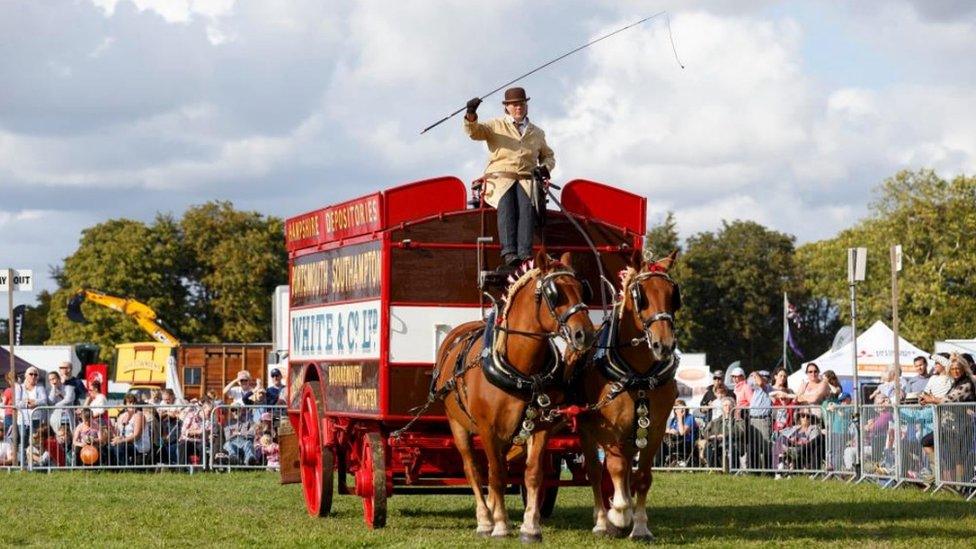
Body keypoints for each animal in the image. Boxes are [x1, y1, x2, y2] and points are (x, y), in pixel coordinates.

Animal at [432, 250, 596, 540]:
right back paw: (485, 519)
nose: (584, 334)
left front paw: (530, 526)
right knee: (473, 469)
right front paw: (499, 525)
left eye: (582, 289)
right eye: (555, 294)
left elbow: (532, 474)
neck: (522, 369)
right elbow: (495, 475)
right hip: (458, 425)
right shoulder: (488, 429)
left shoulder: (540, 427)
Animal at [580, 252, 680, 540]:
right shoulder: (609, 430)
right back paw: (603, 520)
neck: (639, 375)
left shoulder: (655, 429)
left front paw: (640, 526)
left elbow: (642, 477)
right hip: (587, 430)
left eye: (673, 295)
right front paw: (619, 514)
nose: (663, 345)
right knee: (595, 472)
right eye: (641, 295)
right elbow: (614, 469)